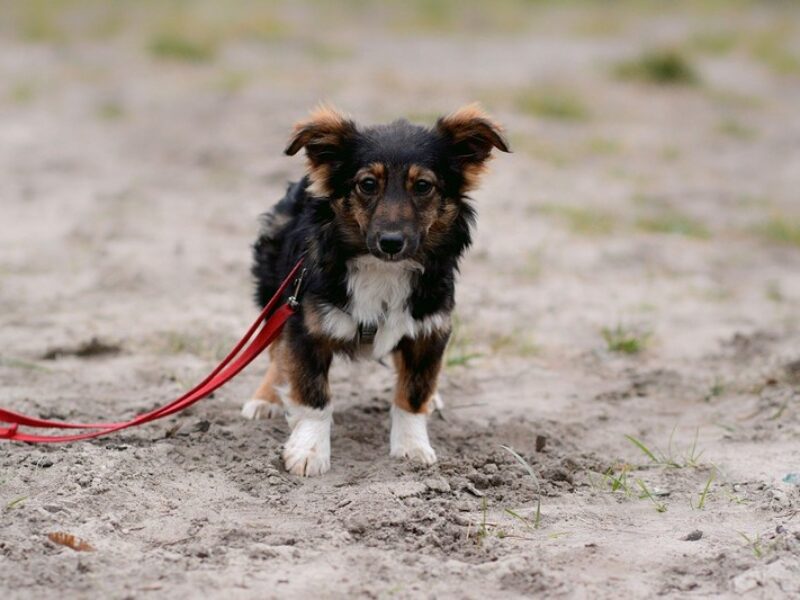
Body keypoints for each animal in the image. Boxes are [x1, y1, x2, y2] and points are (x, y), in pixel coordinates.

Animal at [241, 103, 509, 476]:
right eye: (367, 184)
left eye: (423, 186)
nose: (391, 242)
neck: (384, 268)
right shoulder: (306, 325)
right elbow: (313, 395)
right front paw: (309, 450)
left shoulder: (430, 328)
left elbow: (413, 392)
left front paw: (412, 446)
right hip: (275, 289)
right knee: (274, 348)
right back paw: (264, 398)